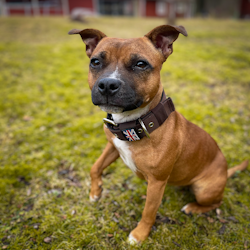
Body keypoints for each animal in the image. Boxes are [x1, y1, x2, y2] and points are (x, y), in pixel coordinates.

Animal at [68, 24, 248, 243]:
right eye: (95, 62)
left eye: (140, 64)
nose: (108, 84)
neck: (135, 124)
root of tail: (225, 172)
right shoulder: (113, 146)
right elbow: (95, 167)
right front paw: (95, 191)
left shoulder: (156, 183)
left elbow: (148, 212)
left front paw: (139, 235)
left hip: (204, 190)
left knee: (216, 203)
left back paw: (193, 208)